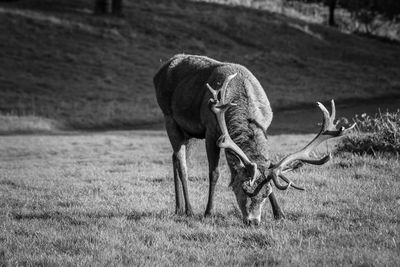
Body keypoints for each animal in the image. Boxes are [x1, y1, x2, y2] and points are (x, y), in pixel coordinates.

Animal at [154, 54, 356, 226]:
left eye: (266, 194)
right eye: (243, 189)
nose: (253, 222)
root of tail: (161, 69)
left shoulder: (265, 127)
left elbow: (268, 167)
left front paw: (280, 214)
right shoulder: (210, 130)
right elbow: (214, 173)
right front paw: (208, 212)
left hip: (189, 133)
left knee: (175, 158)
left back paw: (178, 208)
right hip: (169, 117)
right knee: (182, 163)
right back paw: (188, 210)